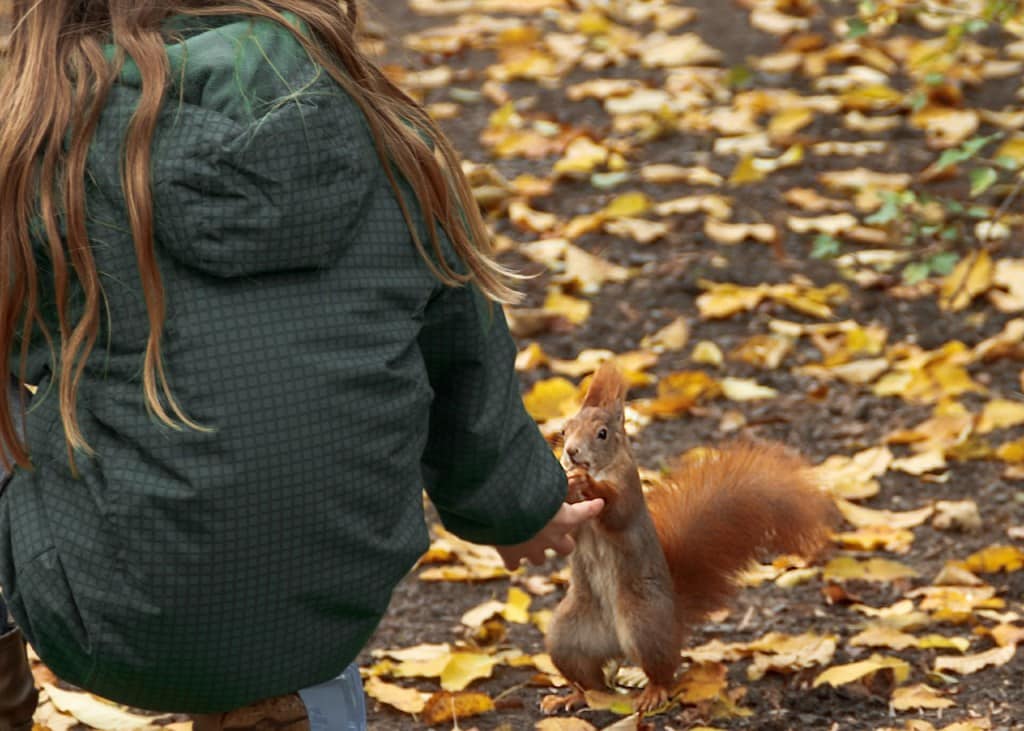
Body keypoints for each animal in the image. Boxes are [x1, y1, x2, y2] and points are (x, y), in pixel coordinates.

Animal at [540, 362, 835, 716]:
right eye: (565, 429)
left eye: (602, 434)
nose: (571, 453)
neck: (603, 467)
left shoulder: (628, 489)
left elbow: (617, 511)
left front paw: (588, 484)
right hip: (567, 637)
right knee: (593, 683)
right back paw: (571, 697)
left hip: (645, 625)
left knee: (662, 670)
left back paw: (652, 693)